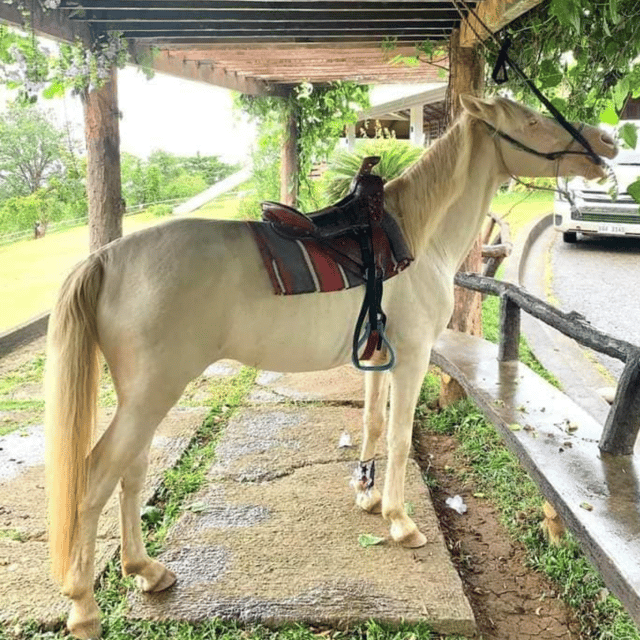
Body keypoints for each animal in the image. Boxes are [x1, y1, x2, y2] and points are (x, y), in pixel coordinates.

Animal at [43, 92, 616, 636]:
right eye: (533, 121)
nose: (607, 144)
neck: (416, 236)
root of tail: (105, 259)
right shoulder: (411, 359)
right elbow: (401, 438)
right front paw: (400, 521)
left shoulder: (378, 357)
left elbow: (374, 424)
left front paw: (368, 496)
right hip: (152, 393)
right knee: (95, 477)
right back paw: (83, 607)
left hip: (143, 397)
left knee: (132, 471)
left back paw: (145, 570)